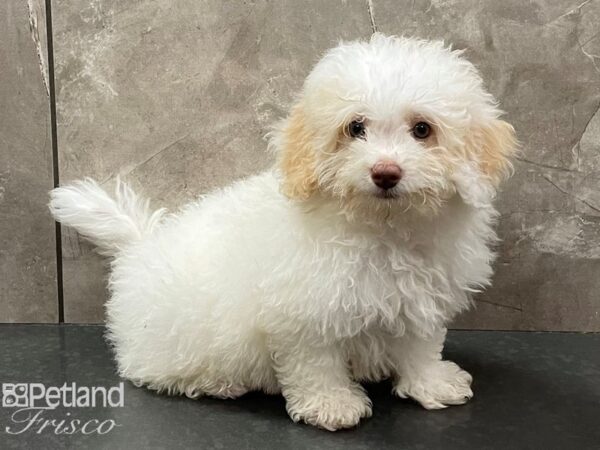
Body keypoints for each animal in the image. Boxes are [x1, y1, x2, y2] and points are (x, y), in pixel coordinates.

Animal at [49, 34, 516, 428]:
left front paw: (431, 383)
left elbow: (420, 344)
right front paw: (332, 404)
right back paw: (216, 383)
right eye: (355, 128)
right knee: (146, 367)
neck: (382, 228)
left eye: (423, 129)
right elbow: (317, 362)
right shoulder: (305, 310)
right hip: (177, 334)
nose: (385, 172)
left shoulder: (421, 298)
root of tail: (143, 245)